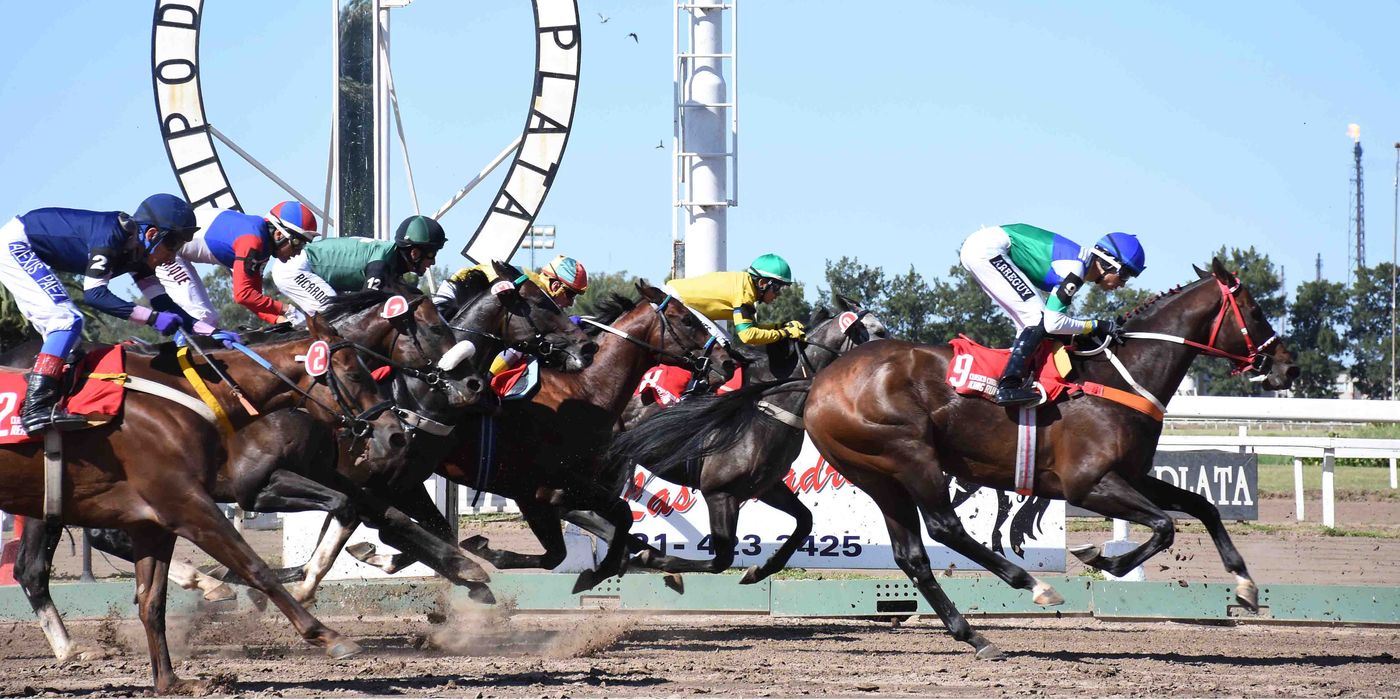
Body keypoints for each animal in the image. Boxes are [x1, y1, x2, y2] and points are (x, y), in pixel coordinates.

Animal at [0, 317, 403, 694]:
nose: (396, 433)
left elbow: (151, 601)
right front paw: (326, 633)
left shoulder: (154, 523)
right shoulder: (195, 502)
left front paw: (170, 682)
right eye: (355, 373)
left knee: (33, 568)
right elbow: (256, 567)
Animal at [602, 294, 884, 579]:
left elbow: (805, 520)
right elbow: (721, 559)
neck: (768, 405)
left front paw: (765, 567)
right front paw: (652, 557)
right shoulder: (719, 493)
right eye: (879, 331)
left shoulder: (766, 486)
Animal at [806, 259, 1293, 660]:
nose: (1290, 368)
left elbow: (1203, 506)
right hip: (910, 456)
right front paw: (1103, 560)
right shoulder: (1088, 483)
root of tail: (821, 384)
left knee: (912, 557)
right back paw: (1034, 585)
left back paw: (974, 636)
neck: (1120, 377)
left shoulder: (1131, 475)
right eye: (1254, 311)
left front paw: (1246, 586)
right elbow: (1164, 526)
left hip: (879, 476)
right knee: (946, 528)